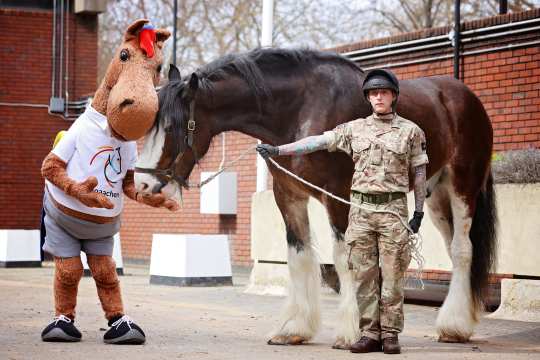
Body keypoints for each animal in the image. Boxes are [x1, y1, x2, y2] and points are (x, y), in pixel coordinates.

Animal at [135, 47, 498, 346]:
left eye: (172, 127)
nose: (142, 186)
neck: (300, 109)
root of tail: (466, 97)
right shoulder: (288, 195)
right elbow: (299, 255)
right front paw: (293, 329)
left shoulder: (337, 195)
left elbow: (346, 259)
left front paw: (351, 333)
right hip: (434, 196)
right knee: (453, 249)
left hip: (462, 186)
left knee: (462, 250)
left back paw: (454, 326)